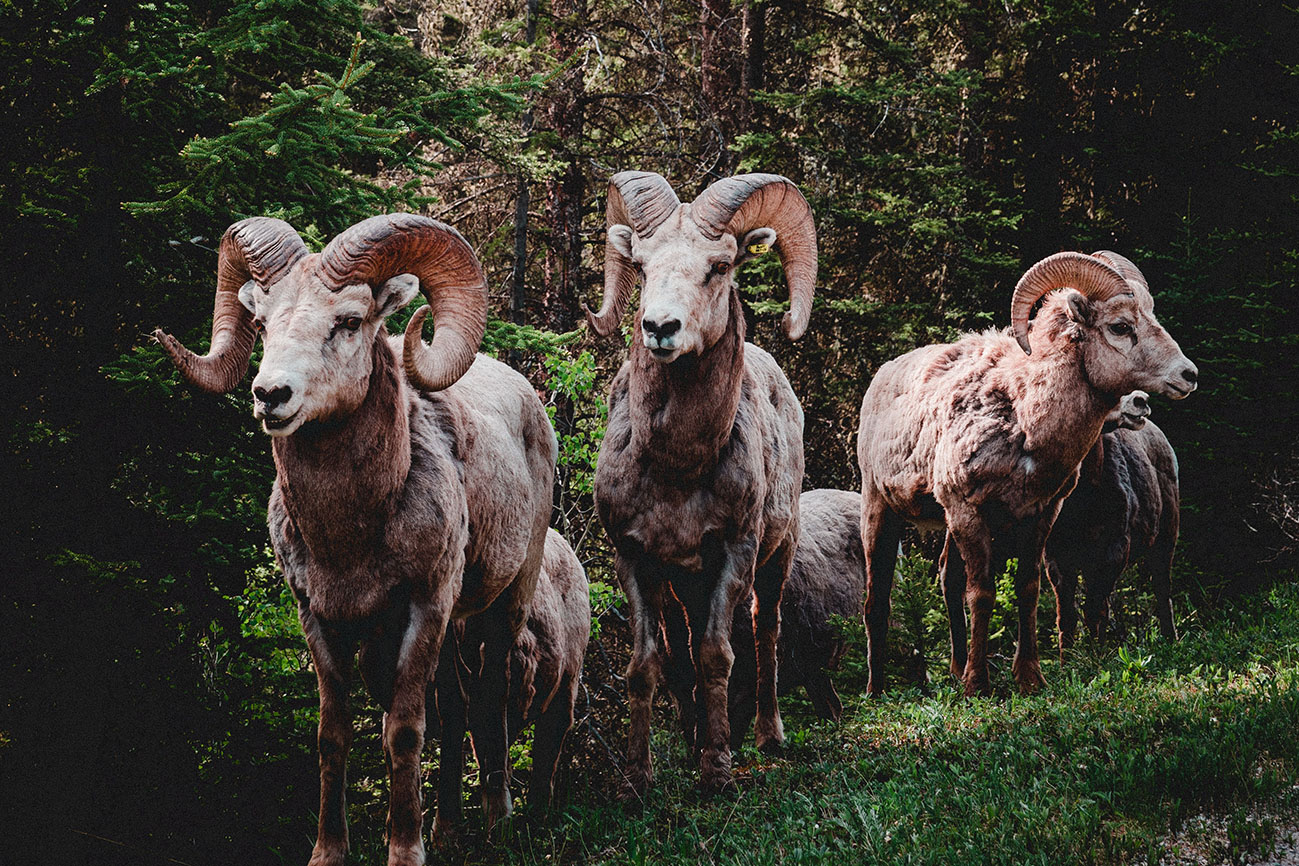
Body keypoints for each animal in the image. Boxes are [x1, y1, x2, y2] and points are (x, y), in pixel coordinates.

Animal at [154, 214, 556, 866]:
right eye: (262, 324)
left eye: (347, 322)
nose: (271, 395)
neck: (349, 539)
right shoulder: (318, 617)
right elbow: (334, 734)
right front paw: (330, 851)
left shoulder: (424, 607)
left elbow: (403, 732)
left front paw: (406, 851)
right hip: (448, 631)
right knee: (454, 709)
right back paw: (448, 830)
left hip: (504, 603)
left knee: (488, 699)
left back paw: (497, 820)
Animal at [585, 171, 818, 795]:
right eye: (641, 266)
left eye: (719, 266)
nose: (660, 328)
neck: (676, 470)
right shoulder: (637, 559)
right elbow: (649, 664)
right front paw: (639, 778)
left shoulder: (734, 552)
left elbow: (717, 655)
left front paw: (716, 768)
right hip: (680, 586)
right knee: (680, 649)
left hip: (775, 558)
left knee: (764, 634)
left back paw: (766, 736)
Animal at [1044, 391, 1182, 646]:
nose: (1141, 399)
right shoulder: (1056, 554)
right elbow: (1067, 617)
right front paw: (1068, 656)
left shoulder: (1115, 545)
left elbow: (1094, 611)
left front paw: (1096, 653)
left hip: (1168, 533)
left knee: (1162, 589)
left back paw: (1171, 640)